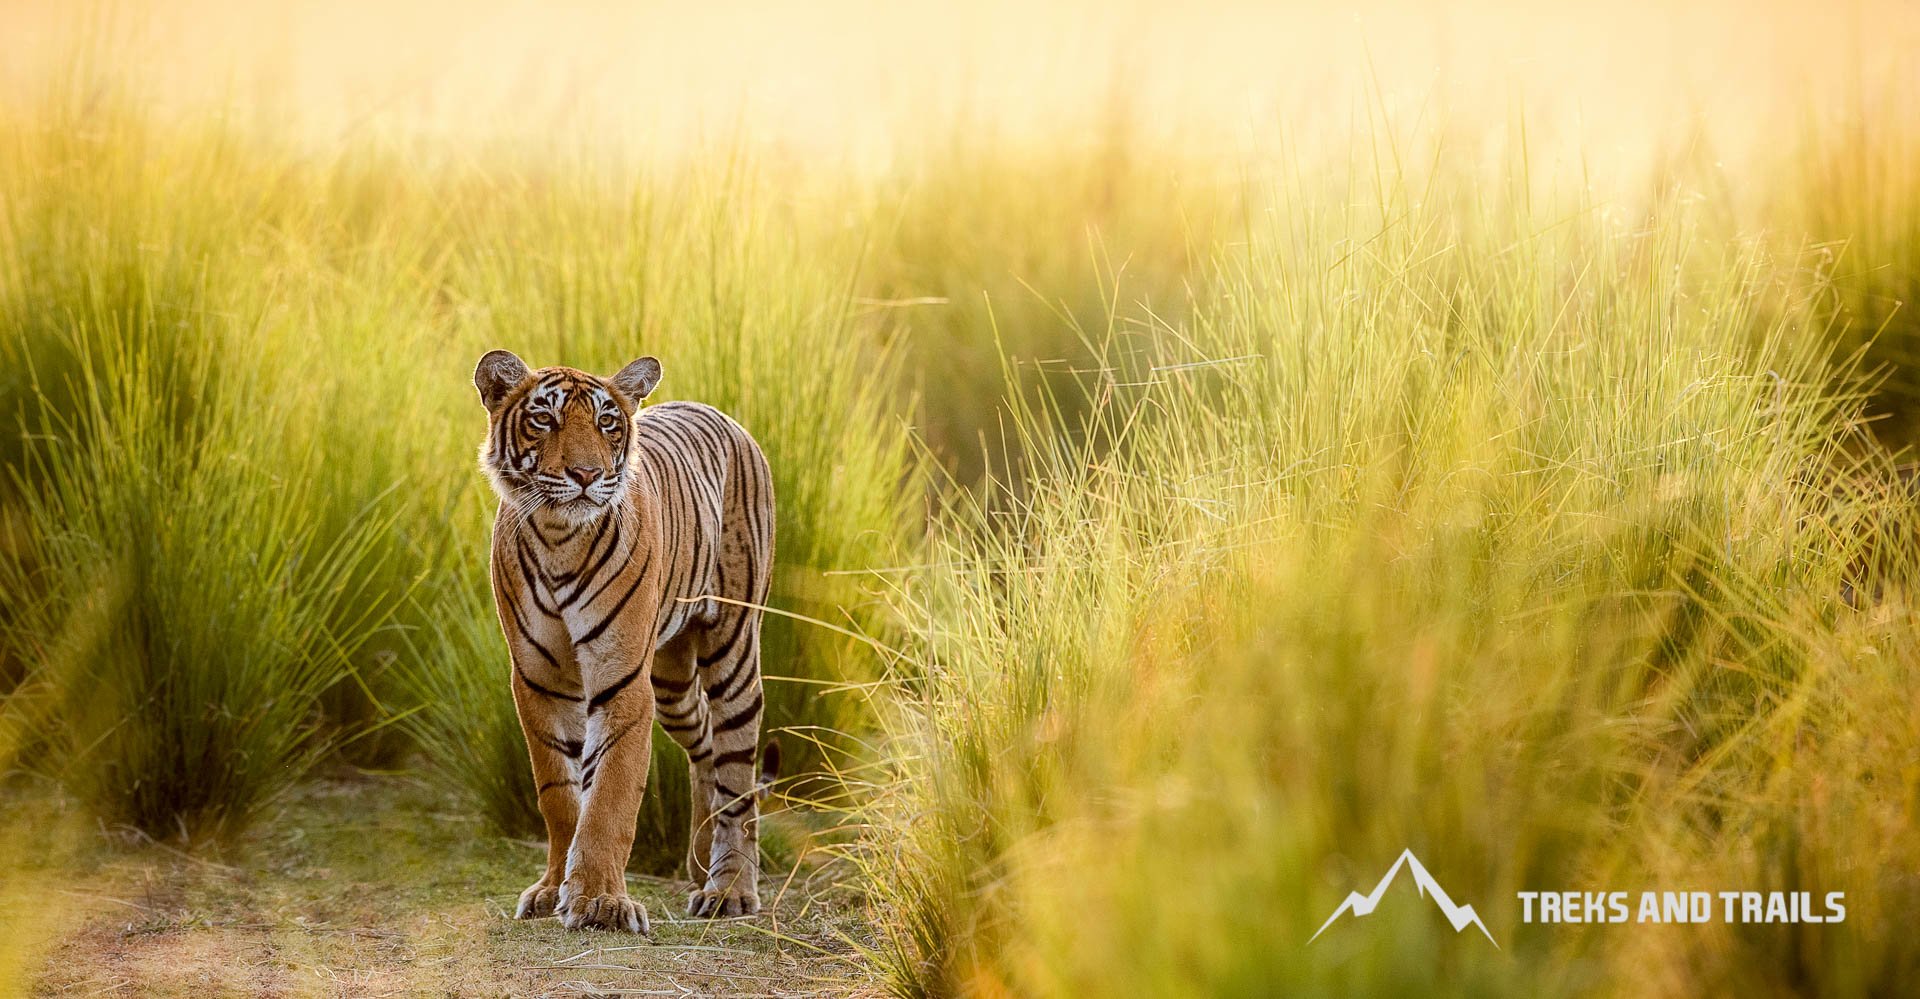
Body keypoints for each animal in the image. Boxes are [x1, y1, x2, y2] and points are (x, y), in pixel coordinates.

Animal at [470, 347, 771, 933]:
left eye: (607, 422)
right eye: (545, 418)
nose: (586, 474)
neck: (559, 536)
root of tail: (720, 413)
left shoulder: (622, 678)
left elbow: (610, 795)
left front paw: (600, 901)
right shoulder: (539, 681)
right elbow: (561, 795)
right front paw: (553, 890)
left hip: (732, 648)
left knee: (736, 775)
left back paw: (728, 889)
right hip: (673, 680)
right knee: (705, 745)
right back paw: (699, 864)